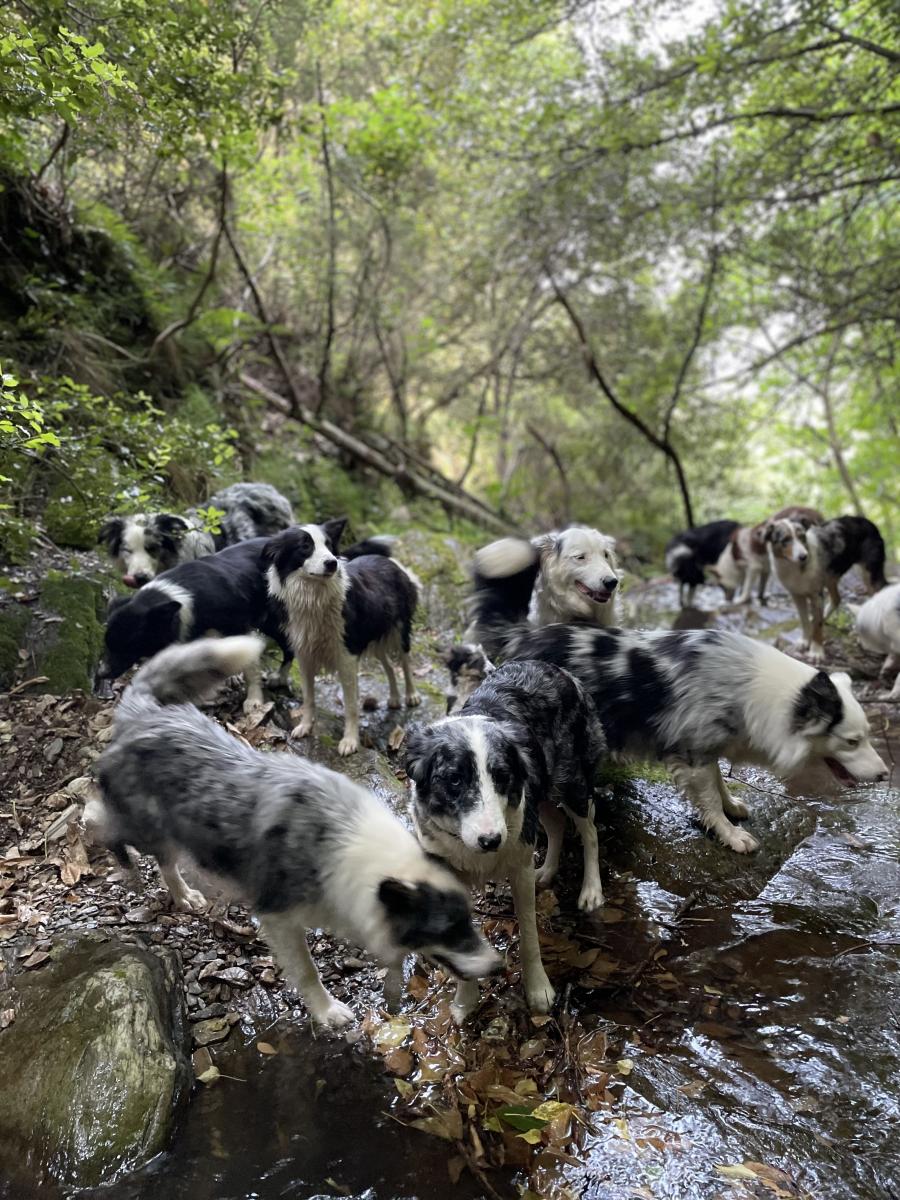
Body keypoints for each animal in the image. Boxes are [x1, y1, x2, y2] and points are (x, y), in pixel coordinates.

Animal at [86, 638, 501, 1032]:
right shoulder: (278, 919)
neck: (352, 847)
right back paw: (114, 848)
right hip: (146, 826)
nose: (498, 965)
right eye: (449, 929)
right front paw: (327, 1012)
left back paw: (182, 894)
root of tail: (145, 713)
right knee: (110, 824)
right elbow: (307, 971)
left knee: (162, 857)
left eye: (468, 920)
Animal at [408, 657, 607, 1022]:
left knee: (589, 831)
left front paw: (538, 990)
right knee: (556, 824)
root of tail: (557, 669)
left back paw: (591, 891)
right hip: (541, 793)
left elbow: (529, 934)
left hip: (570, 784)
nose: (491, 840)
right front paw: (465, 1001)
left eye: (501, 776)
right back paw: (548, 870)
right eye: (454, 780)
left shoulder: (518, 866)